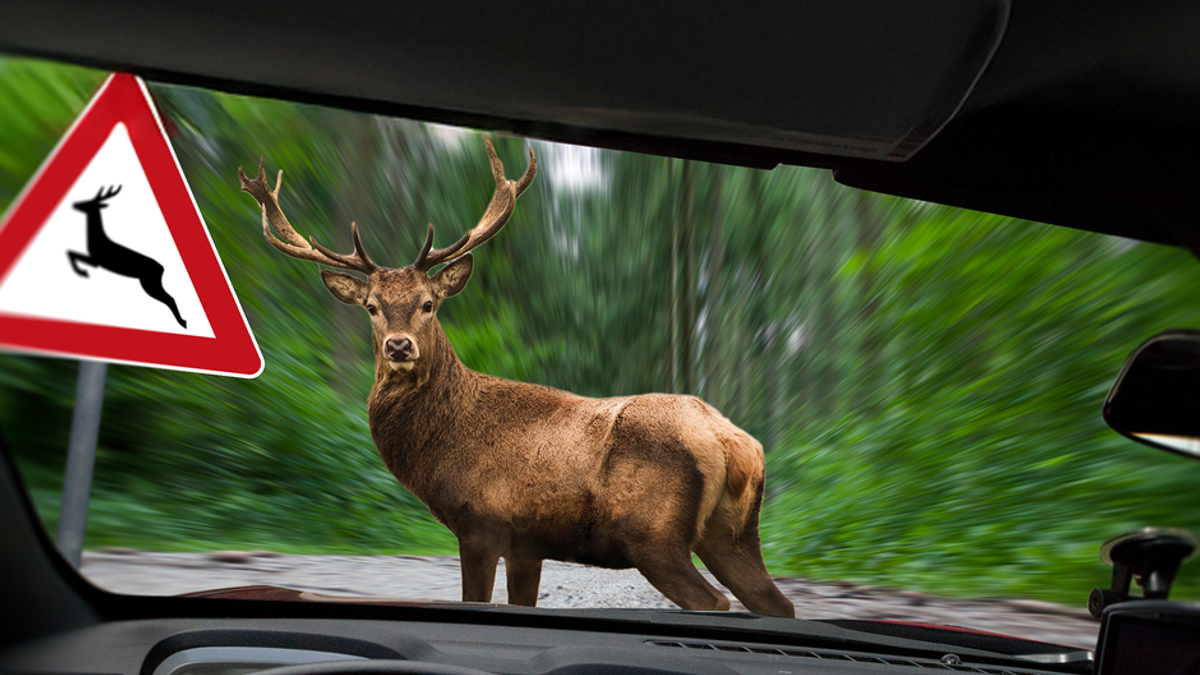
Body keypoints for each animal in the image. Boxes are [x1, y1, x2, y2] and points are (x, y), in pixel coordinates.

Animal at [69, 183, 187, 326]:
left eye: (89, 203)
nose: (75, 204)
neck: (97, 239)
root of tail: (162, 268)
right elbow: (72, 253)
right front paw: (83, 272)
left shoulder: (97, 261)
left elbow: (72, 254)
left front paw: (83, 272)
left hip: (149, 284)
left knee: (170, 299)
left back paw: (183, 323)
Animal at [235, 136, 796, 614]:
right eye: (372, 307)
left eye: (428, 303)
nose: (398, 346)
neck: (440, 446)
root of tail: (734, 442)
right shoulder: (528, 545)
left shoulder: (481, 523)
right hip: (733, 532)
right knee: (777, 602)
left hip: (654, 534)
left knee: (715, 601)